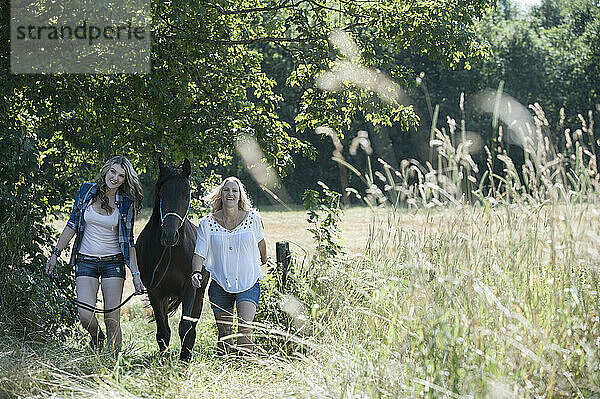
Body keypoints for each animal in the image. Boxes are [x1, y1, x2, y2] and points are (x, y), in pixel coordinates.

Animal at [135, 159, 210, 362]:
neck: (171, 253)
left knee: (192, 325)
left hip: (199, 294)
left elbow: (185, 327)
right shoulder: (155, 292)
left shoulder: (190, 289)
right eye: (161, 194)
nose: (169, 235)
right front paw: (164, 359)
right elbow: (163, 330)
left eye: (186, 195)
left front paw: (184, 357)